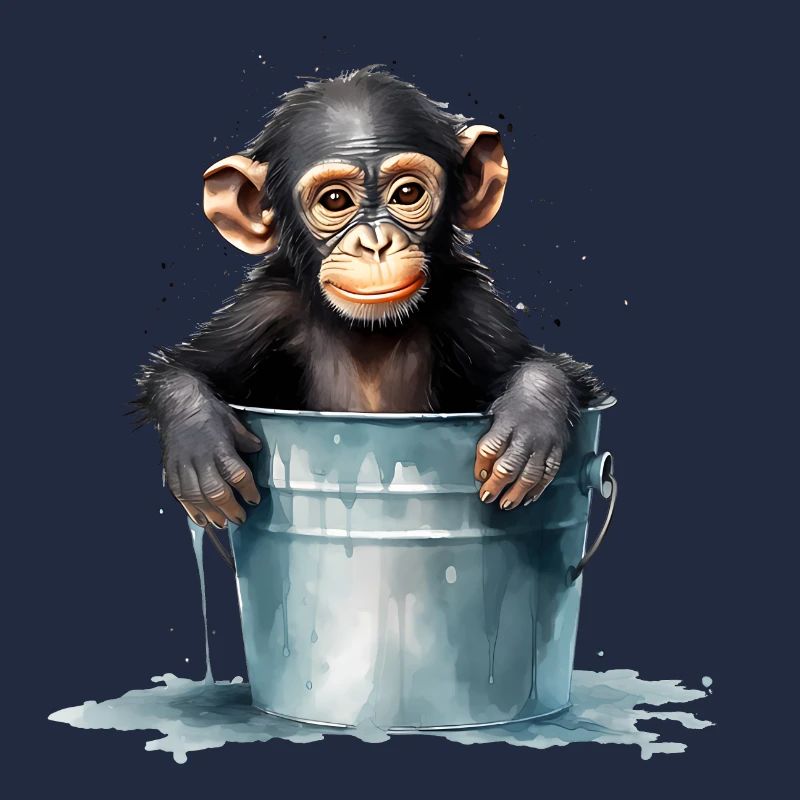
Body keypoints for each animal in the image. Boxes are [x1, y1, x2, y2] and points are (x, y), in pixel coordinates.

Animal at [136, 66, 606, 531]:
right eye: (335, 200)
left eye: (407, 195)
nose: (376, 244)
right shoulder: (263, 310)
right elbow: (188, 368)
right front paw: (199, 445)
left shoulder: (472, 307)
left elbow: (540, 366)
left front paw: (529, 422)